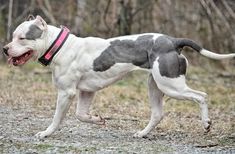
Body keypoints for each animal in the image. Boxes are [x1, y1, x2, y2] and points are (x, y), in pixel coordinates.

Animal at [3, 15, 235, 139]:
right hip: (155, 86)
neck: (59, 46)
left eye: (22, 38)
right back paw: (142, 133)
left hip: (171, 85)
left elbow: (57, 118)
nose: (5, 49)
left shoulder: (66, 93)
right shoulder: (86, 92)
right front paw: (97, 119)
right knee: (158, 114)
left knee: (201, 95)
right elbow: (80, 115)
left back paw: (206, 123)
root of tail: (173, 41)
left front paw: (46, 133)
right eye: (13, 36)